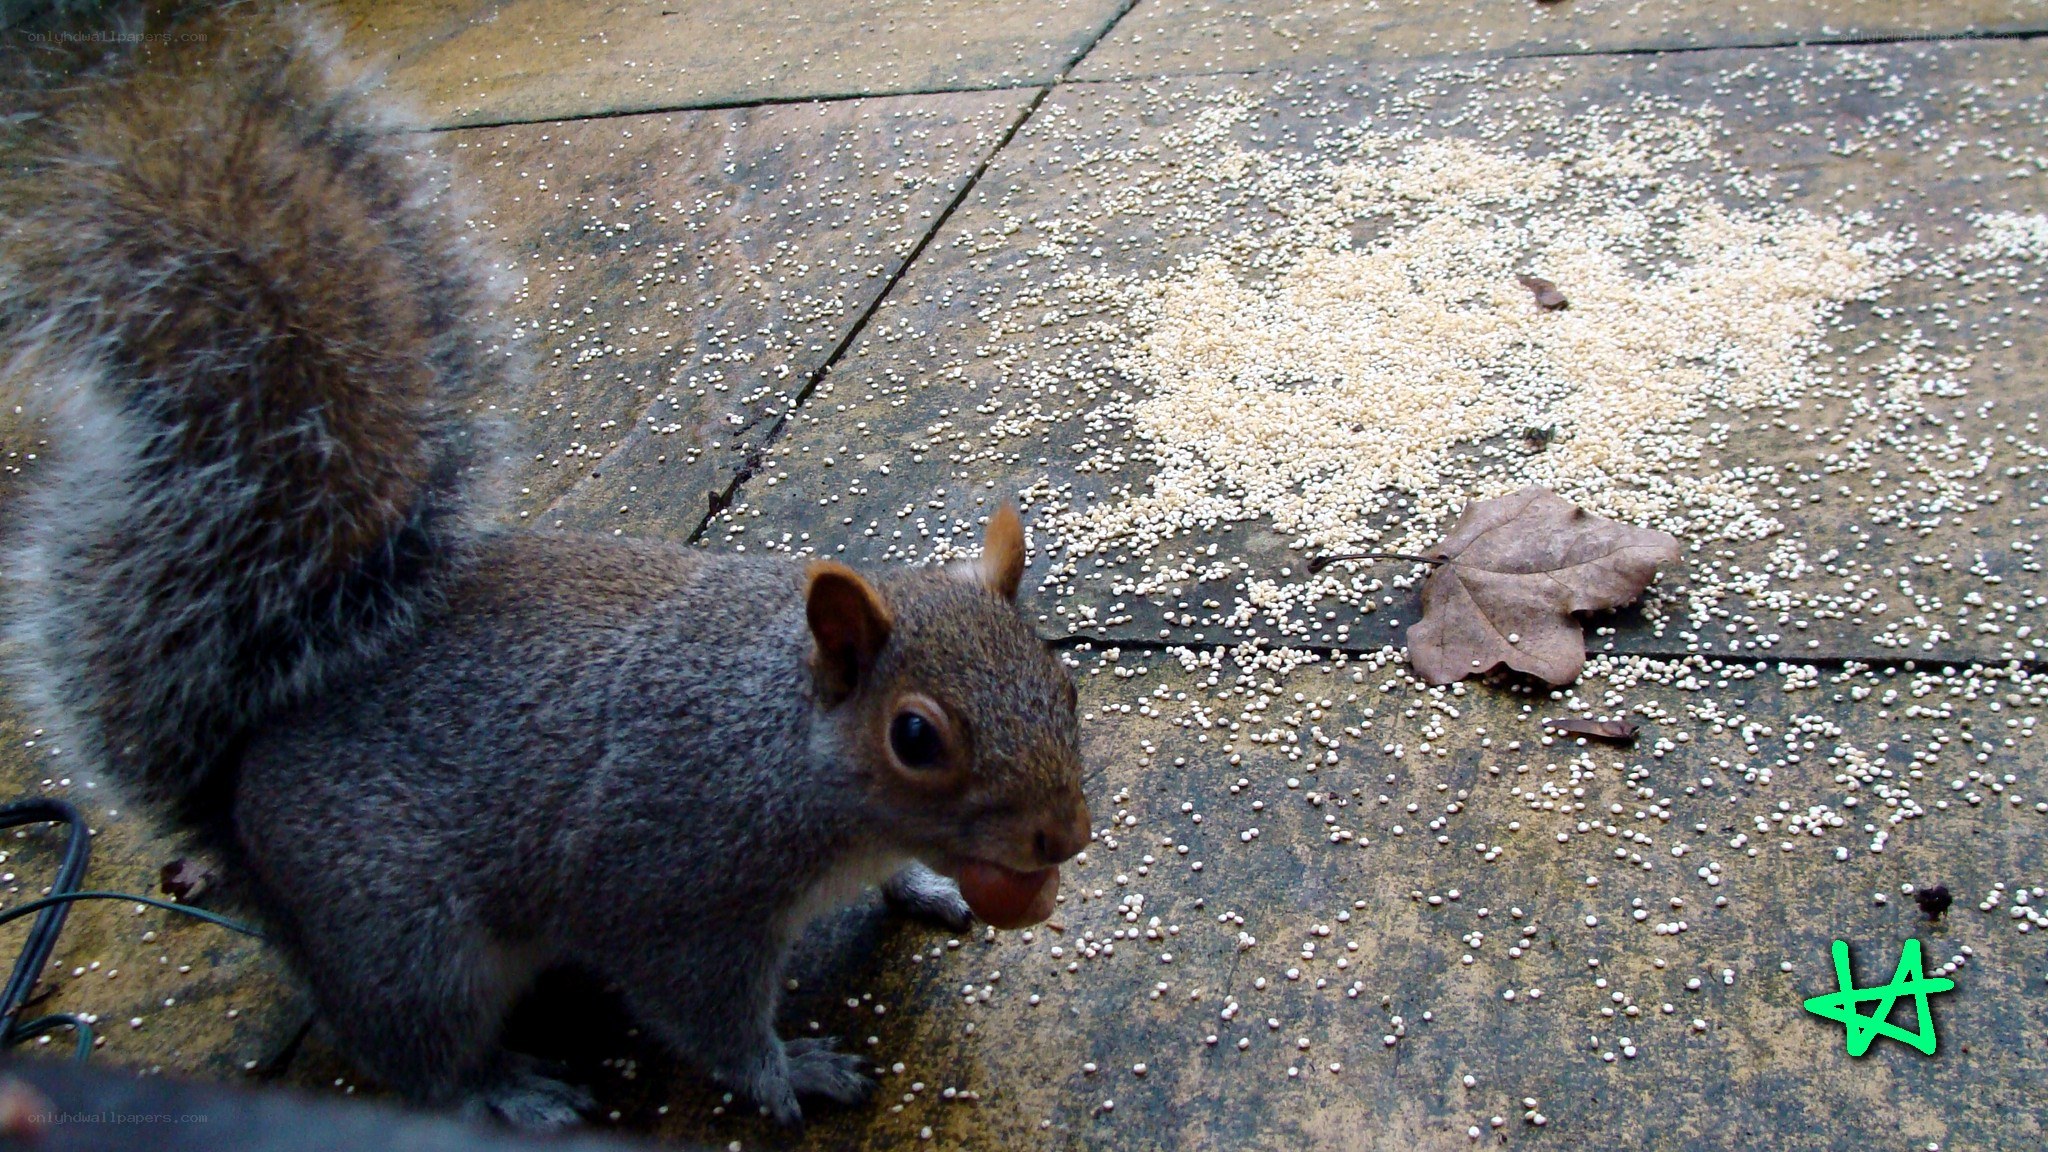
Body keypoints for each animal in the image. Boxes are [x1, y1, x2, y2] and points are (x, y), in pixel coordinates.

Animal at [0, 17, 1090, 1130]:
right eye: (914, 739)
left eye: (1064, 684)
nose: (1063, 837)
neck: (785, 747)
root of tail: (235, 799)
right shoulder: (669, 886)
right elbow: (704, 1012)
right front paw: (790, 1072)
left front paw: (926, 886)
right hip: (405, 943)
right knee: (413, 1056)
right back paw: (511, 1090)